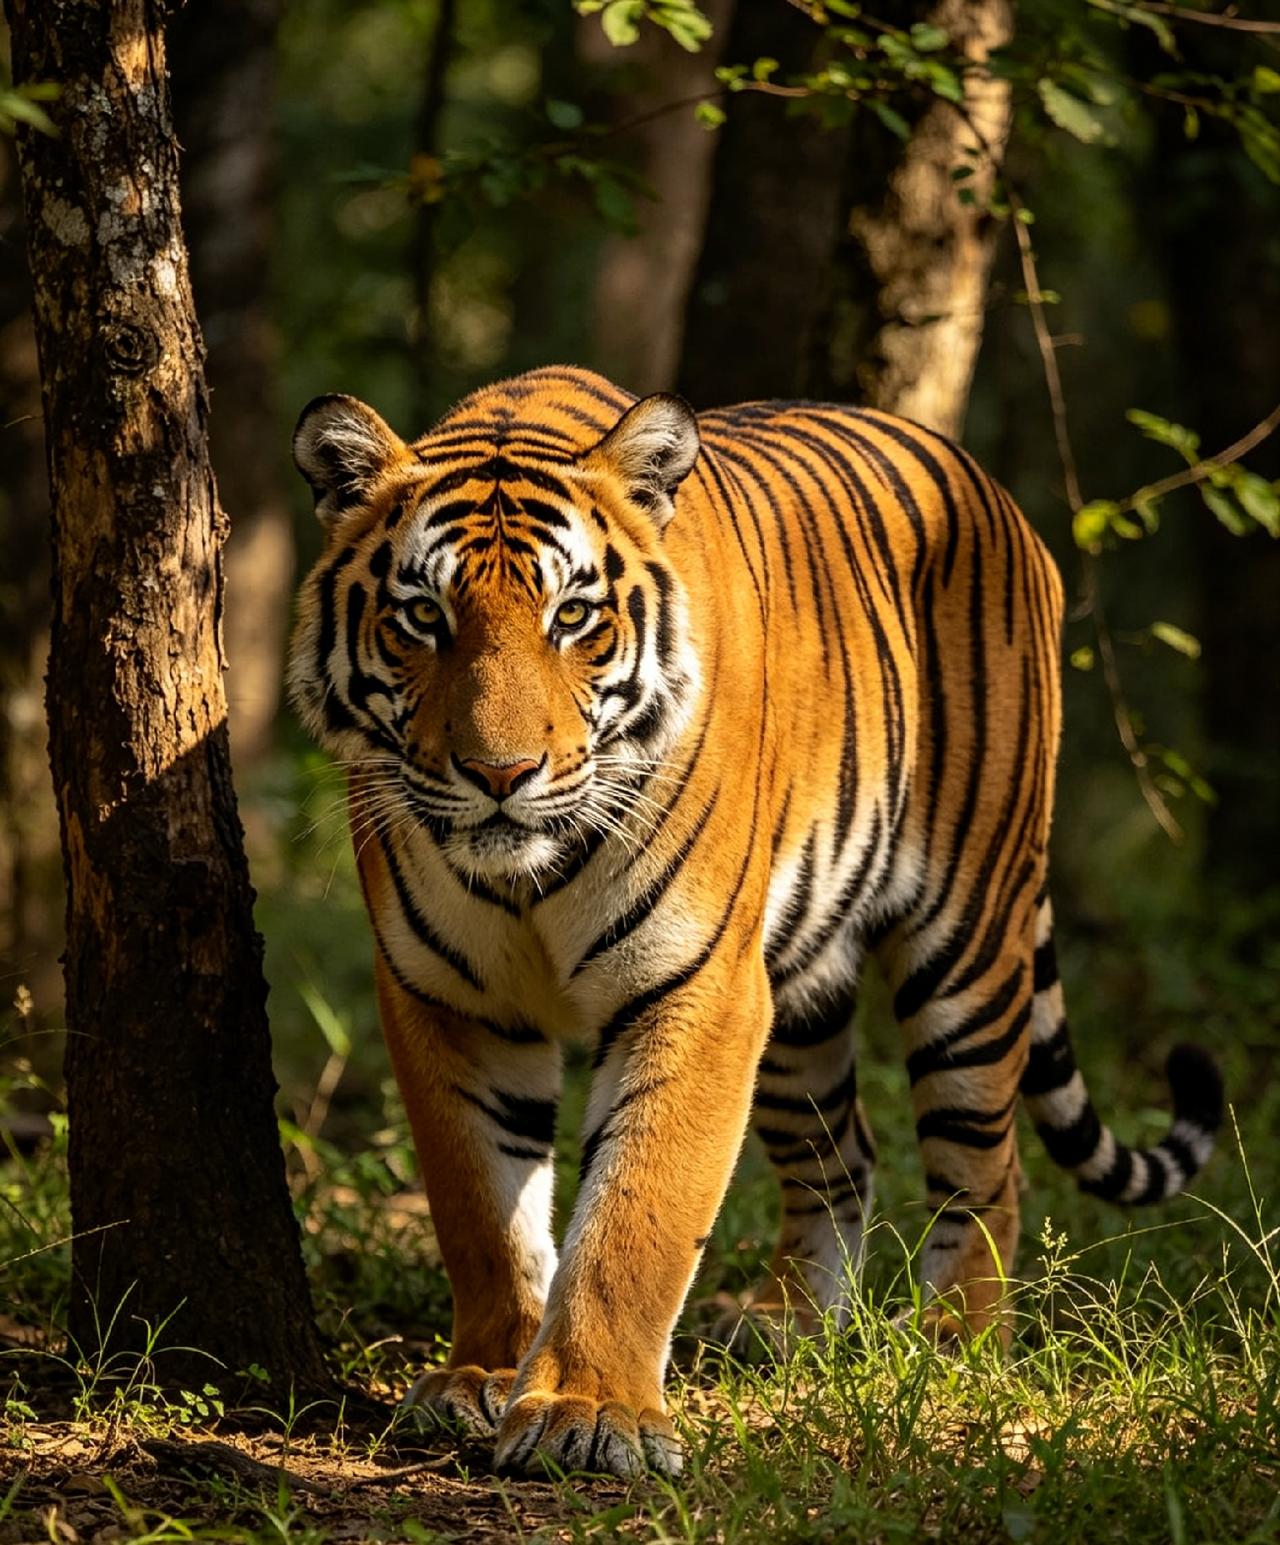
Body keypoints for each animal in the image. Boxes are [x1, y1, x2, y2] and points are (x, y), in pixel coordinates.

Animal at [288, 365, 1223, 1478]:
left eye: (572, 617)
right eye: (423, 616)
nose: (501, 774)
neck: (527, 876)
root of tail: (989, 488)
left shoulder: (695, 984)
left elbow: (640, 1210)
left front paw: (586, 1412)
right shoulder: (447, 999)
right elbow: (482, 1206)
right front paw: (484, 1374)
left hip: (968, 940)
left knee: (985, 1166)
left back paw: (956, 1344)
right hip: (798, 993)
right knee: (842, 1153)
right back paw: (788, 1331)